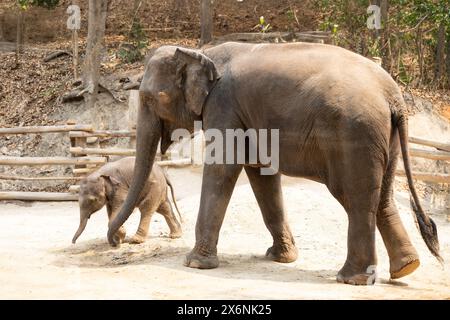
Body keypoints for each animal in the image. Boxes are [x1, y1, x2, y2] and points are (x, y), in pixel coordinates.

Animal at [108, 42, 440, 284]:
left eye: (151, 98)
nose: (118, 240)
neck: (204, 51)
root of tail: (394, 95)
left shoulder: (224, 107)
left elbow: (223, 168)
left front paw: (194, 263)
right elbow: (261, 175)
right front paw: (281, 258)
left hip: (355, 135)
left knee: (357, 199)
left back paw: (350, 279)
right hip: (385, 139)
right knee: (383, 198)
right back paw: (405, 268)